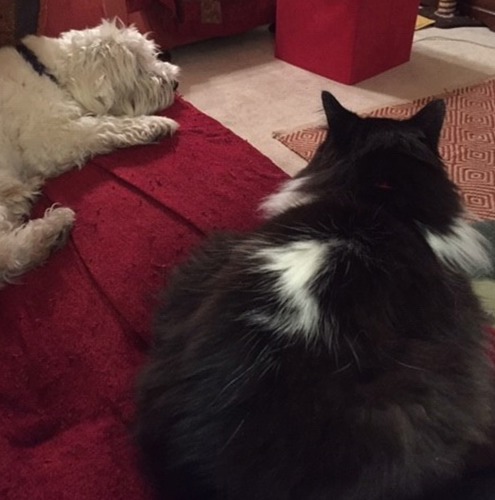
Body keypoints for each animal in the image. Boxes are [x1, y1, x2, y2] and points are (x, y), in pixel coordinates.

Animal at [0, 18, 180, 286]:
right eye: (139, 68)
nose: (176, 82)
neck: (49, 72)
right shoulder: (53, 137)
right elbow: (107, 126)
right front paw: (157, 124)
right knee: (7, 255)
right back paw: (53, 229)